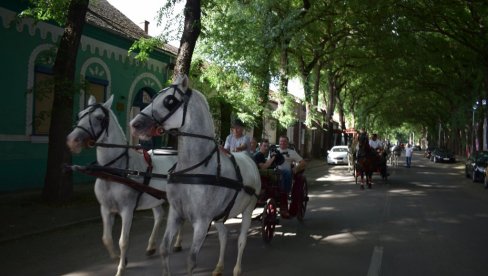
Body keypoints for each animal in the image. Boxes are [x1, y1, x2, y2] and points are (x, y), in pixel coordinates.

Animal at [66, 95, 183, 276]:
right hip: (154, 198)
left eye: (99, 118)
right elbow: (106, 239)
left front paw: (121, 268)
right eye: (79, 115)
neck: (114, 172)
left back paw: (177, 243)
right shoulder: (105, 208)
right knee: (159, 216)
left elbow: (123, 240)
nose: (72, 140)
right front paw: (119, 258)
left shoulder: (127, 210)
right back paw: (151, 246)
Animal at [129, 74, 260, 274]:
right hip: (220, 216)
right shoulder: (176, 214)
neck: (193, 169)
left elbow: (191, 260)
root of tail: (248, 157)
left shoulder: (202, 221)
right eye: (154, 97)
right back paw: (219, 267)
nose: (134, 124)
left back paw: (237, 269)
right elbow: (164, 249)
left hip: (248, 208)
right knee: (223, 235)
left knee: (241, 241)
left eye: (169, 101)